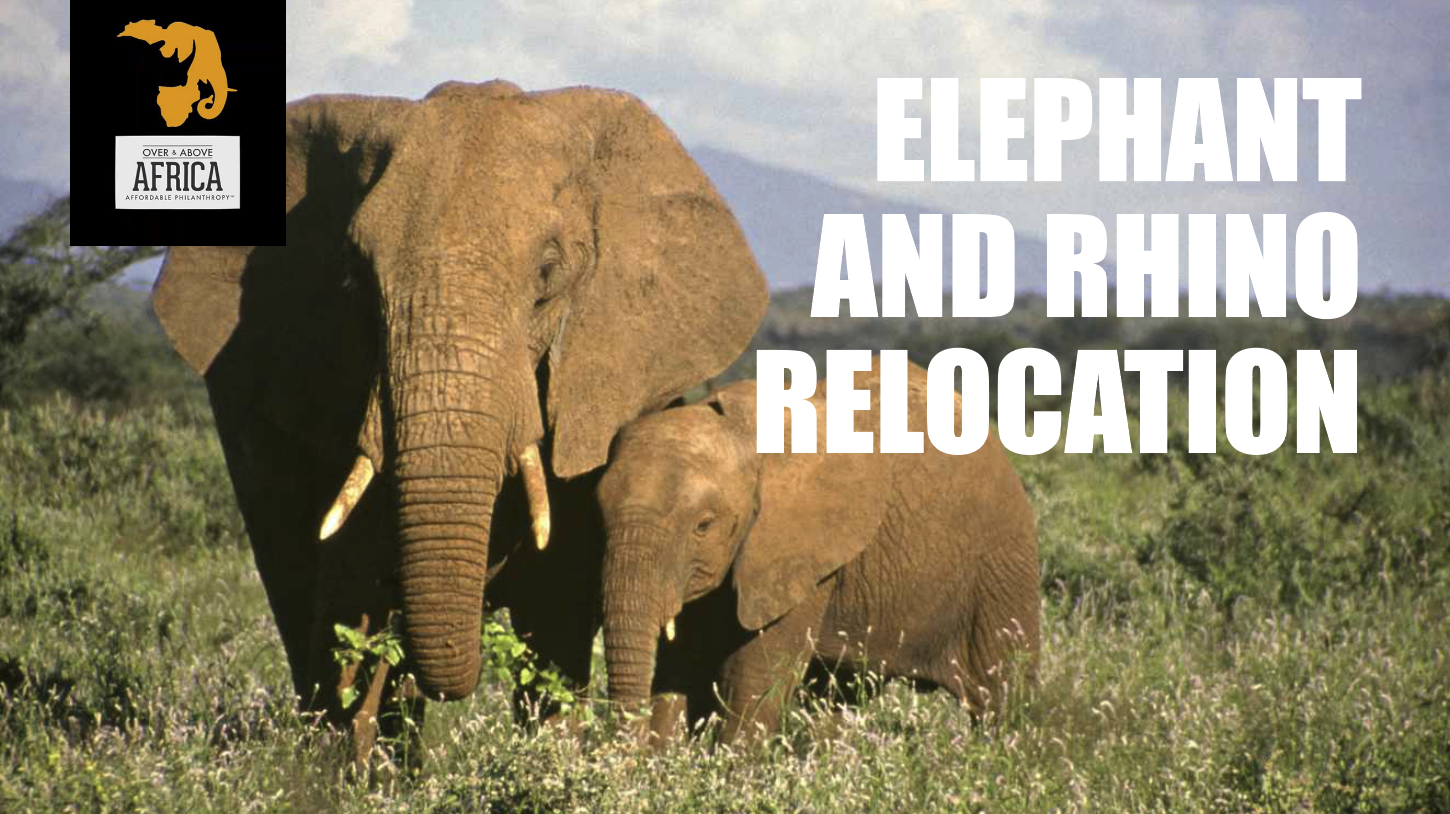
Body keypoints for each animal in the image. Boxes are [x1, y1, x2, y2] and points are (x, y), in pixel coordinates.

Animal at [596, 357, 1041, 744]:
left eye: (703, 526)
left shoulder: (801, 548)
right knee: (837, 696)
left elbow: (755, 675)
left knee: (1002, 694)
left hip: (1002, 562)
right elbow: (681, 664)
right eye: (599, 513)